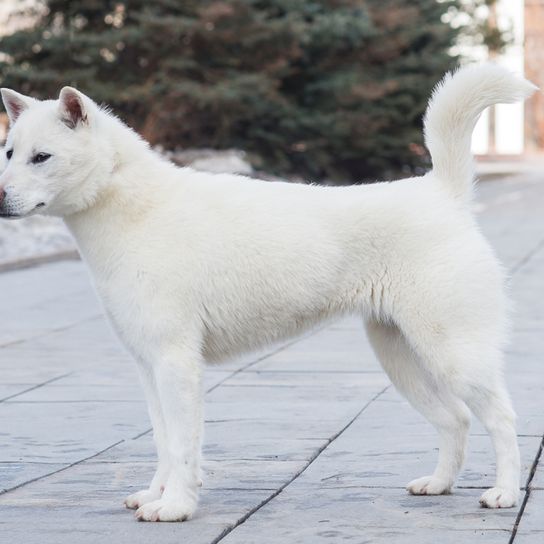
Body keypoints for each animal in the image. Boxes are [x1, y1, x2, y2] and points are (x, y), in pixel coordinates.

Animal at [0, 65, 536, 524]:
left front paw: (175, 507)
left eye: (41, 157)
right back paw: (439, 484)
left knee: (502, 419)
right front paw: (156, 495)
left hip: (454, 352)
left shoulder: (176, 363)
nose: (0, 197)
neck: (131, 207)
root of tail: (442, 194)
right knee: (455, 420)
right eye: (9, 153)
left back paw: (505, 494)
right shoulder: (149, 366)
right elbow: (163, 441)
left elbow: (182, 445)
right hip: (402, 357)